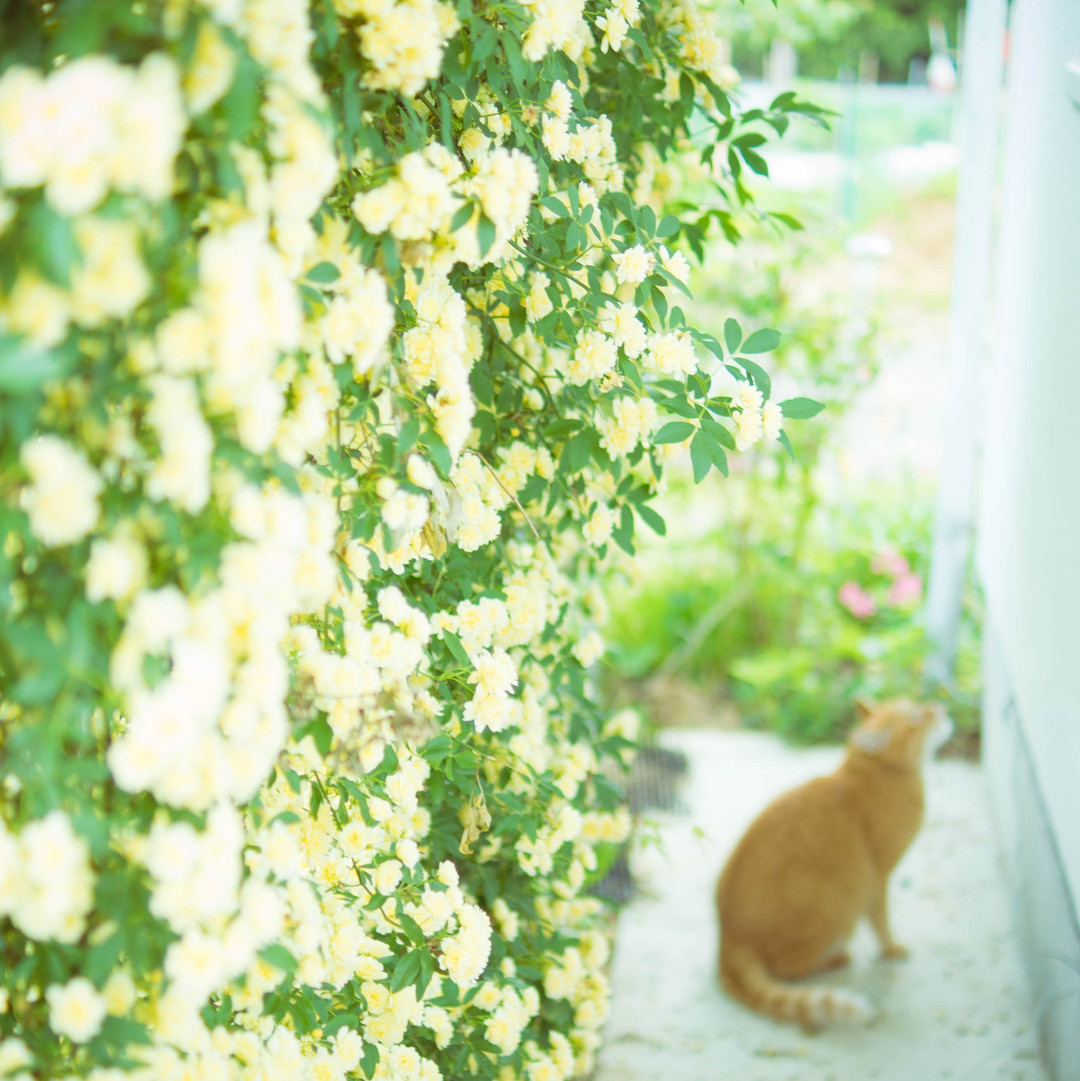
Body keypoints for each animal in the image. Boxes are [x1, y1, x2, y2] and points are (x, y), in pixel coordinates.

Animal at [715, 698, 952, 1028]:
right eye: (915, 718)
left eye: (914, 704)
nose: (937, 706)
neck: (871, 776)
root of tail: (729, 935)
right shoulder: (878, 878)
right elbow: (882, 921)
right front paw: (891, 948)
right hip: (835, 916)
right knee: (788, 968)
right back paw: (836, 959)